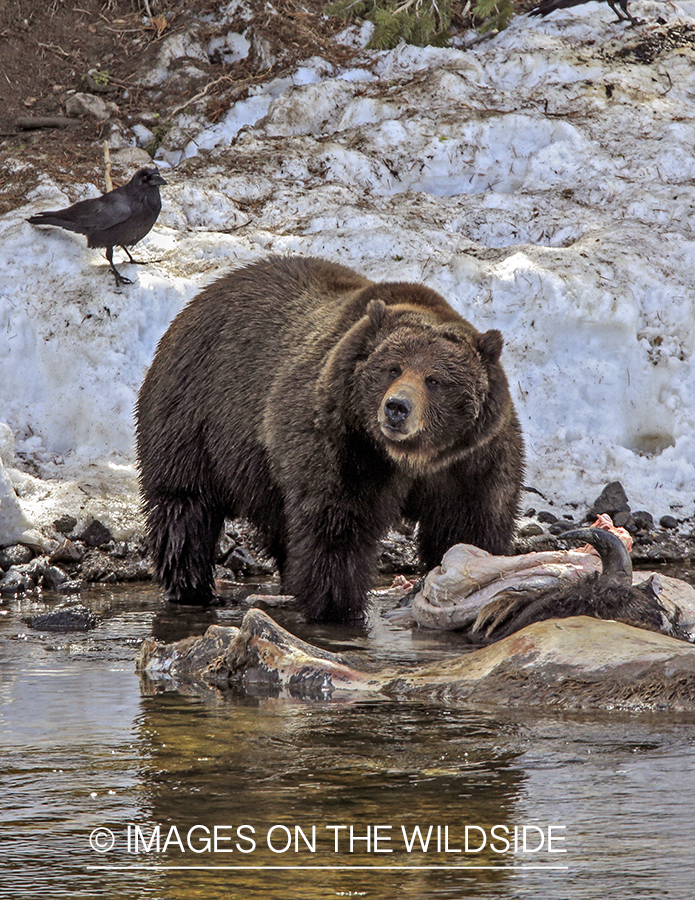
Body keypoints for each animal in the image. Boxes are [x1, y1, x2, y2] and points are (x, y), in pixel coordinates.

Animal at [136, 253, 520, 620]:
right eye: (392, 368)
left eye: (434, 379)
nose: (396, 407)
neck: (411, 457)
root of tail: (202, 297)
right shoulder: (342, 444)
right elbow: (336, 527)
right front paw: (337, 607)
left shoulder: (472, 459)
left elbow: (468, 527)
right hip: (194, 415)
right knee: (185, 509)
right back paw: (191, 587)